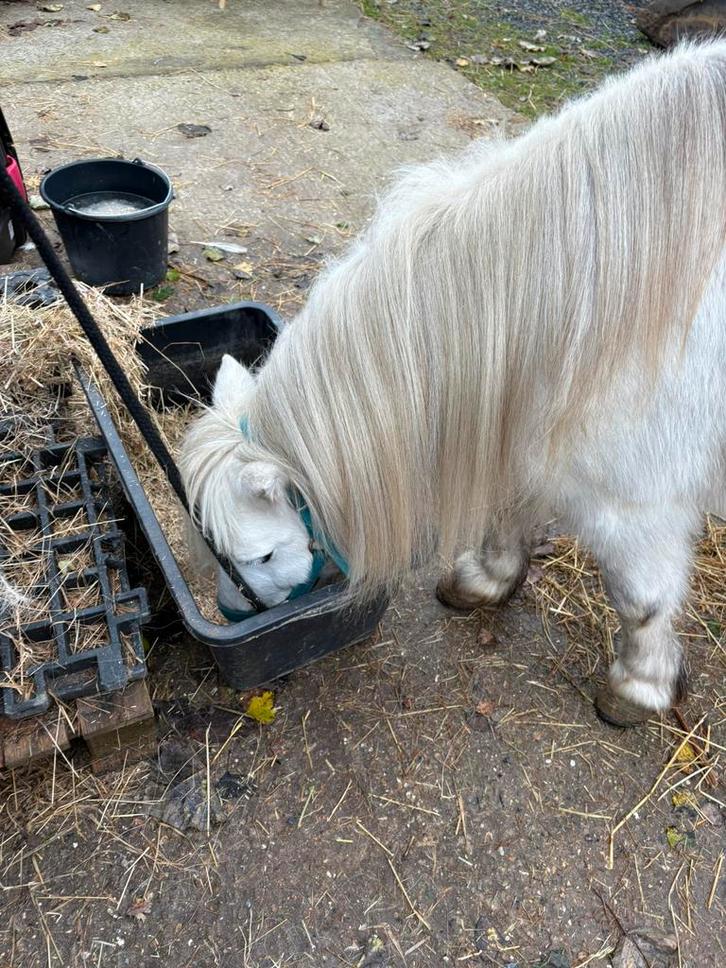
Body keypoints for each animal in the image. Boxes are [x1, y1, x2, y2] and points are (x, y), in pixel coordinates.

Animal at [180, 40, 726, 727]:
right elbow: (509, 507)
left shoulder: (638, 503)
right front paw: (487, 580)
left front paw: (638, 688)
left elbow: (640, 599)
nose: (233, 615)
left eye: (262, 557)